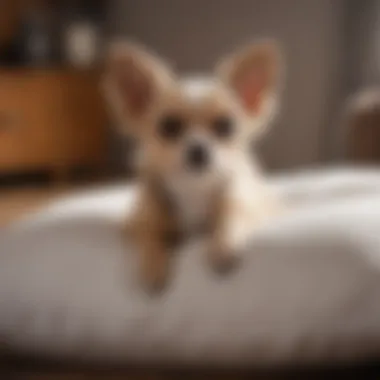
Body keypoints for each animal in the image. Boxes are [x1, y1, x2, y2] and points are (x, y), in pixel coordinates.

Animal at [102, 38, 284, 292]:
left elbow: (230, 216)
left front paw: (223, 247)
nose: (198, 149)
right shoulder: (141, 221)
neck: (193, 187)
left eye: (225, 126)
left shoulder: (241, 201)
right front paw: (152, 267)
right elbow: (149, 237)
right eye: (169, 127)